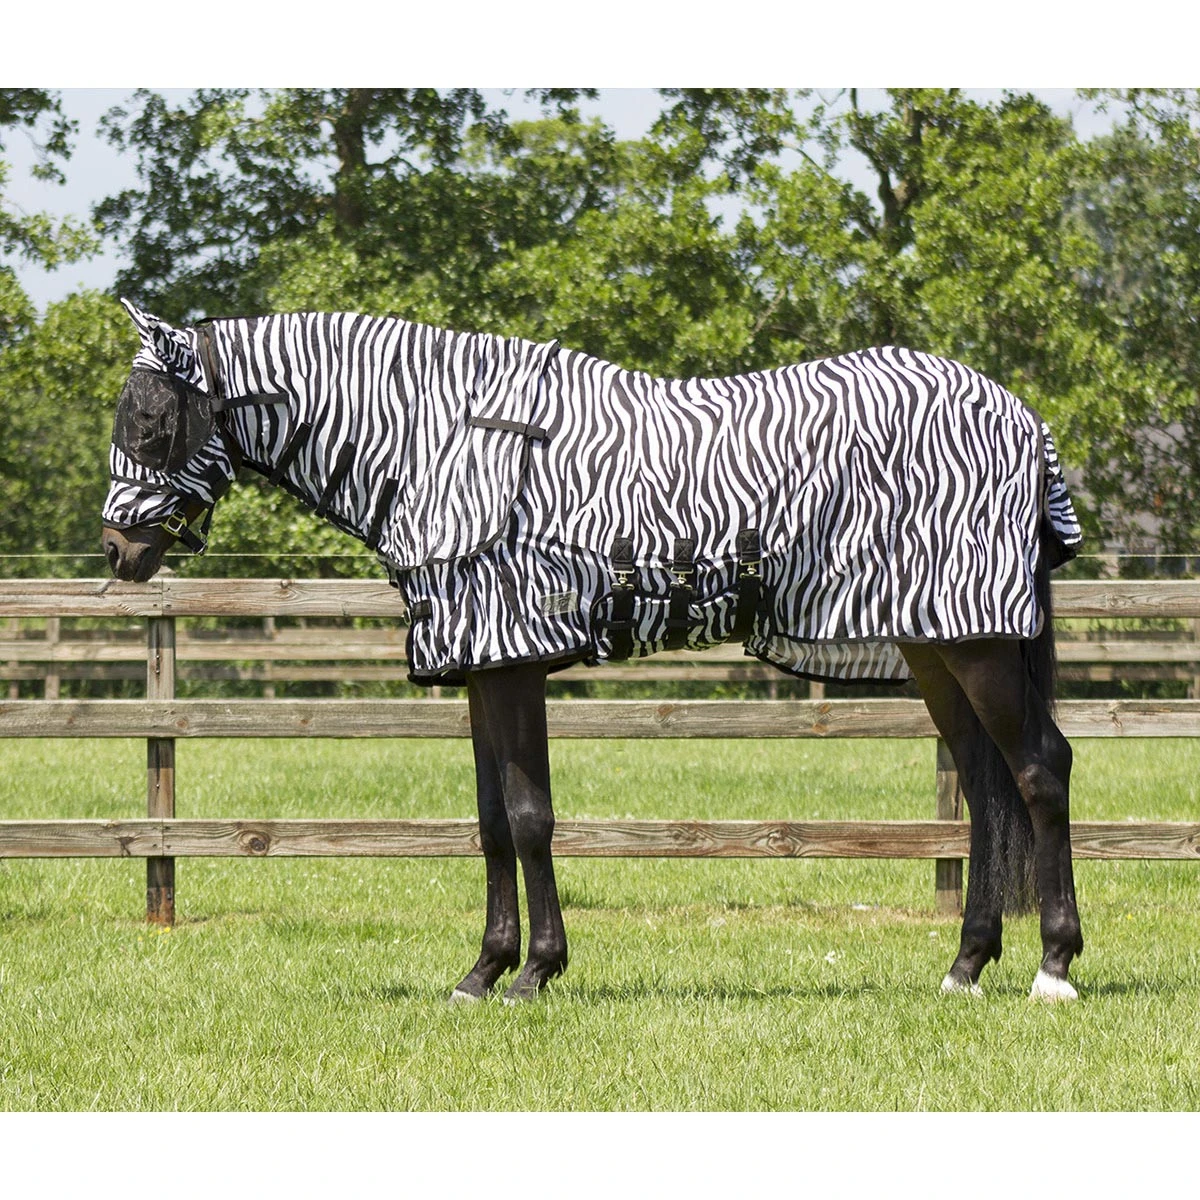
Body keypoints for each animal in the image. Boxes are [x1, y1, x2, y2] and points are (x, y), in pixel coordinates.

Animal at [102, 300, 1085, 1003]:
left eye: (151, 419)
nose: (118, 552)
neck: (442, 440)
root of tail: (1022, 418)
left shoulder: (511, 665)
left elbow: (530, 815)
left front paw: (535, 971)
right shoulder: (481, 668)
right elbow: (491, 821)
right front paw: (484, 971)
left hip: (978, 646)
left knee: (1039, 769)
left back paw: (1054, 966)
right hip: (935, 645)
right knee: (986, 788)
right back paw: (966, 966)